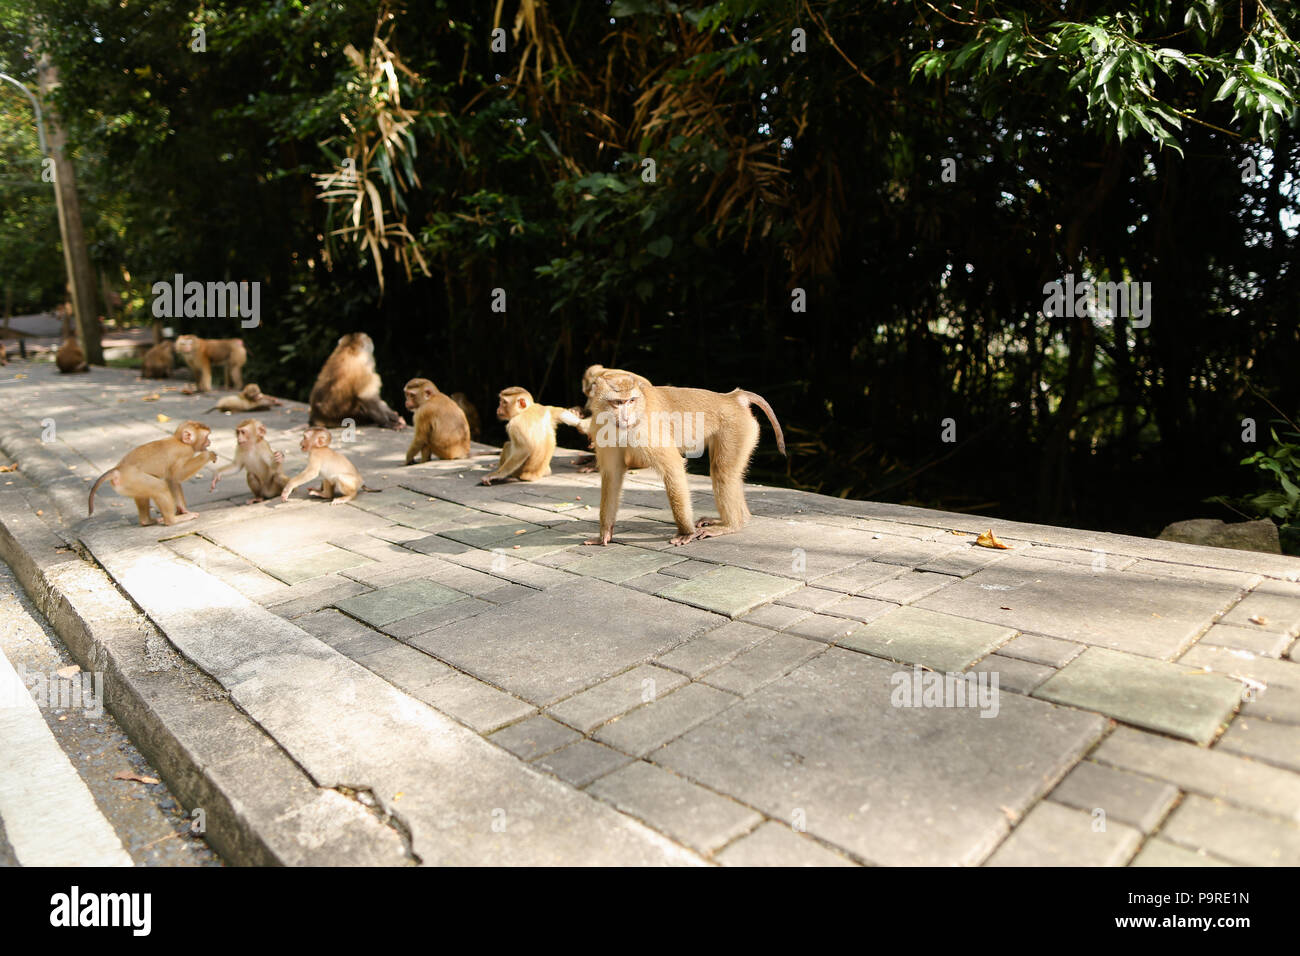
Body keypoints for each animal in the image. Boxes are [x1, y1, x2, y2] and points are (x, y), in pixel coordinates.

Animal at [89, 421, 217, 528]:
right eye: (206, 437)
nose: (210, 442)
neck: (179, 440)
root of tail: (118, 470)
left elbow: (172, 480)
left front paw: (182, 509)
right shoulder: (184, 452)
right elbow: (176, 476)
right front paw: (208, 455)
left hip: (130, 485)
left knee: (143, 494)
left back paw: (147, 521)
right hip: (132, 479)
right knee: (160, 487)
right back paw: (172, 520)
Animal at [585, 369, 785, 546]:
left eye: (631, 400)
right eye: (618, 402)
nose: (626, 418)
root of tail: (732, 397)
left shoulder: (646, 431)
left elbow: (673, 466)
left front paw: (686, 533)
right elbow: (613, 474)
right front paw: (604, 533)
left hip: (737, 428)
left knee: (722, 472)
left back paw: (730, 525)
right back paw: (736, 520)